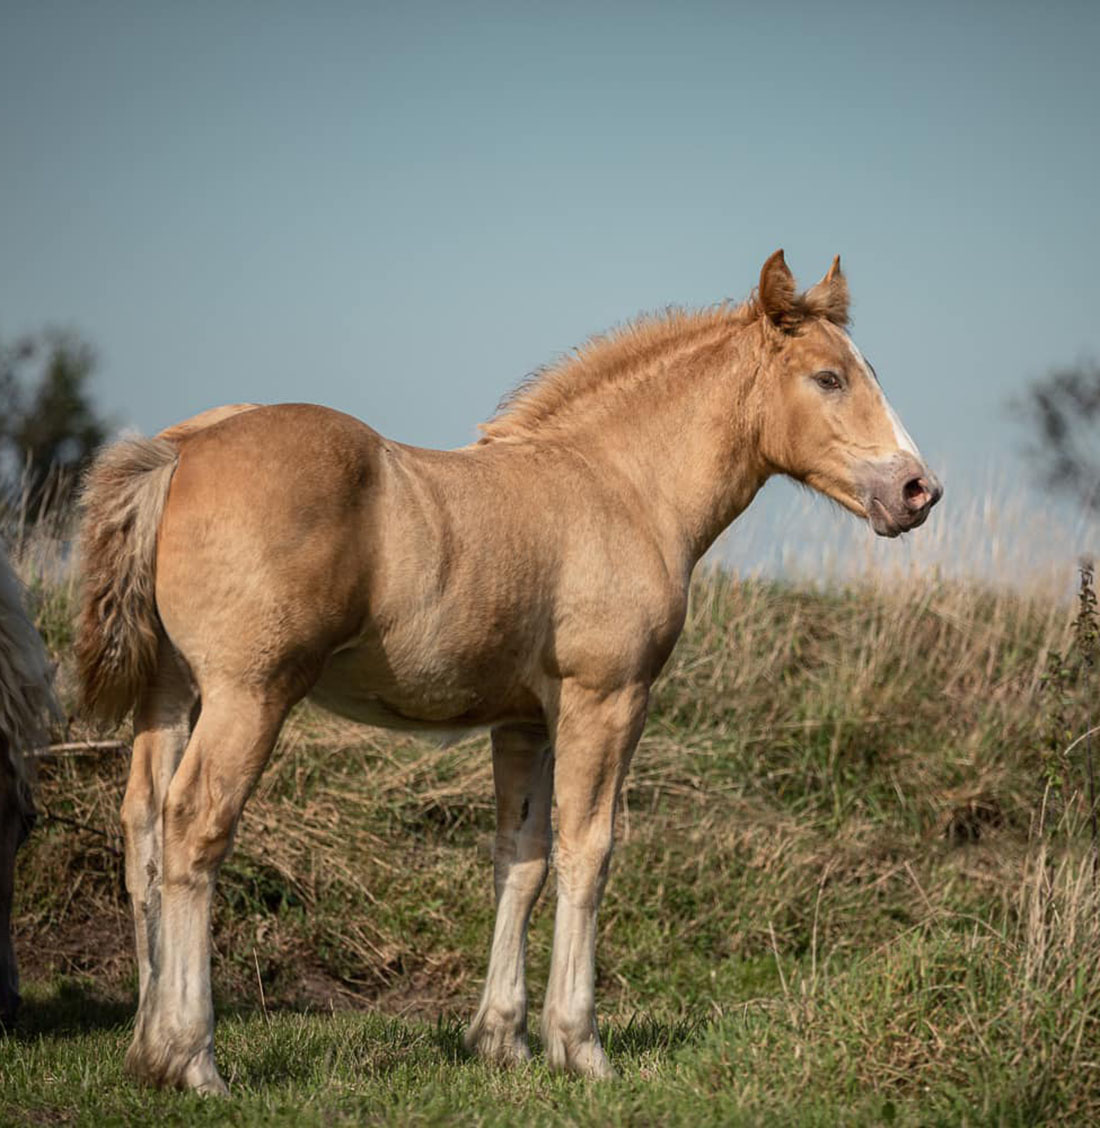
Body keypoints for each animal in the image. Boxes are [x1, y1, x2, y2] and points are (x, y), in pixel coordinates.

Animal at [75, 251, 938, 1087]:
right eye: (828, 377)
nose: (916, 489)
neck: (623, 486)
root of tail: (181, 448)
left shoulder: (525, 721)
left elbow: (519, 860)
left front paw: (502, 1039)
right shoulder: (607, 699)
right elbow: (587, 852)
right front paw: (580, 1045)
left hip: (169, 692)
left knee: (144, 829)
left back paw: (145, 1048)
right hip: (248, 693)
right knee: (195, 826)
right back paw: (190, 1057)